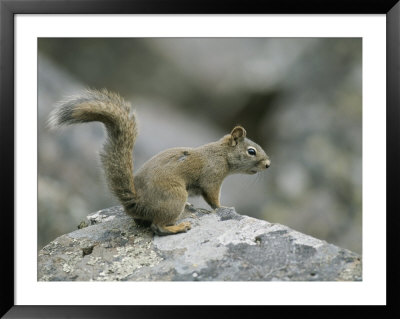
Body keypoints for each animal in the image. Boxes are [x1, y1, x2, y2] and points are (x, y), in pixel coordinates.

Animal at [48, 89, 270, 236]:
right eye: (251, 151)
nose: (268, 165)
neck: (221, 153)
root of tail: (136, 202)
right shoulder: (212, 177)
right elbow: (213, 198)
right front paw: (225, 207)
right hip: (174, 196)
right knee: (158, 227)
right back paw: (179, 226)